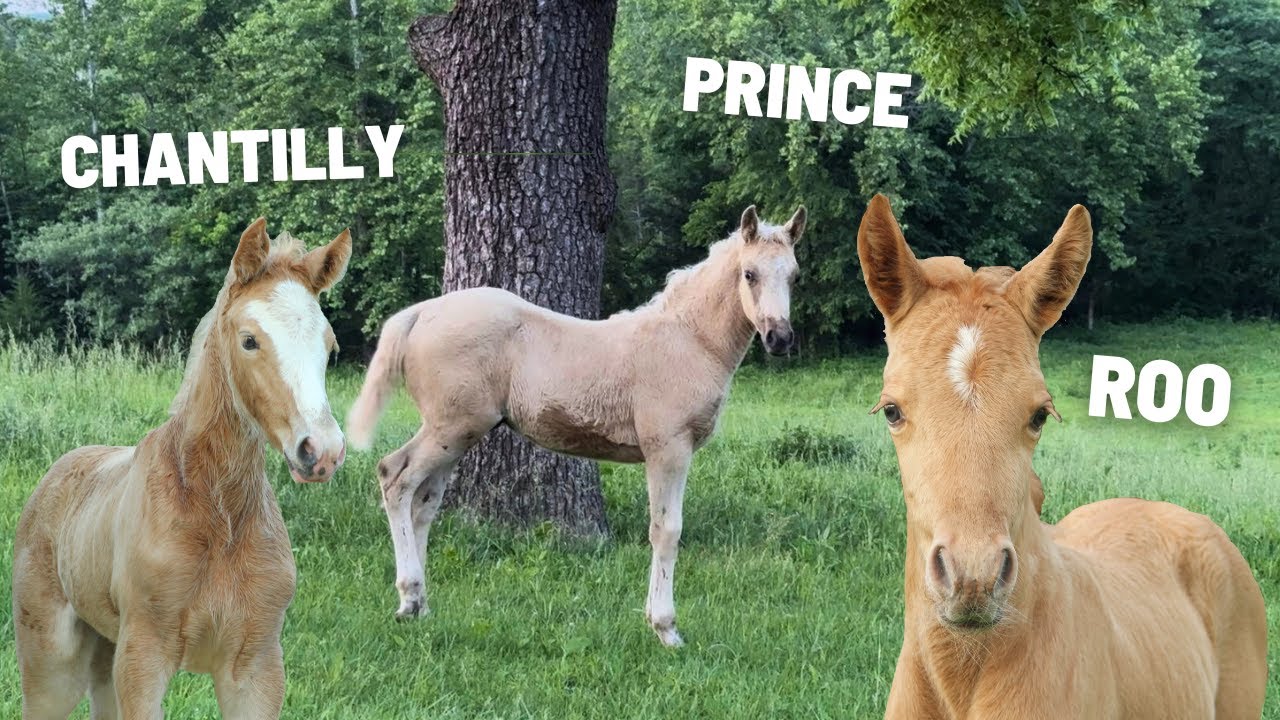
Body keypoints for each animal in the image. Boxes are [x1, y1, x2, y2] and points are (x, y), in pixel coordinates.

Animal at [12, 219, 351, 719]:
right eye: (249, 340)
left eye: (329, 347)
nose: (321, 451)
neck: (217, 515)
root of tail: (55, 474)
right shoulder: (143, 659)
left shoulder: (257, 666)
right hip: (53, 664)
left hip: (104, 651)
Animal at [346, 204, 805, 646]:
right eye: (749, 273)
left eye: (794, 275)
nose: (780, 339)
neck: (688, 340)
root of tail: (420, 313)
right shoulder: (668, 449)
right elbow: (666, 530)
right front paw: (666, 628)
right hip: (451, 428)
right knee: (394, 477)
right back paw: (409, 595)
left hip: (455, 435)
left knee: (424, 503)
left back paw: (419, 605)